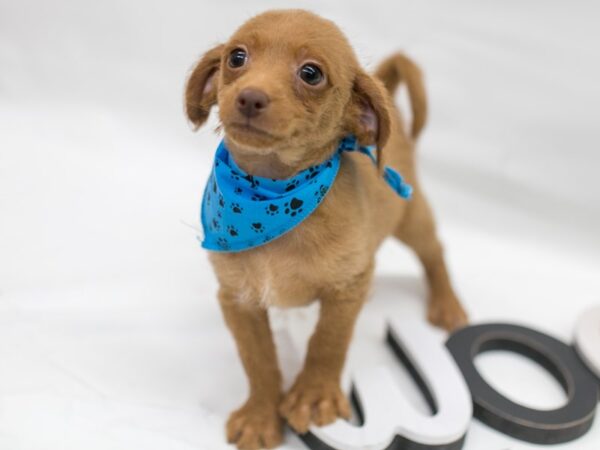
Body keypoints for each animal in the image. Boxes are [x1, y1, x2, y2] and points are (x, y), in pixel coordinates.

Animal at [185, 8, 466, 448]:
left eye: (311, 73)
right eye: (236, 57)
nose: (249, 97)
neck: (272, 199)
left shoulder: (349, 286)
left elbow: (327, 342)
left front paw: (313, 397)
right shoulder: (239, 299)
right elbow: (258, 360)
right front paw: (261, 415)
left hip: (411, 218)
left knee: (434, 252)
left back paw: (447, 304)